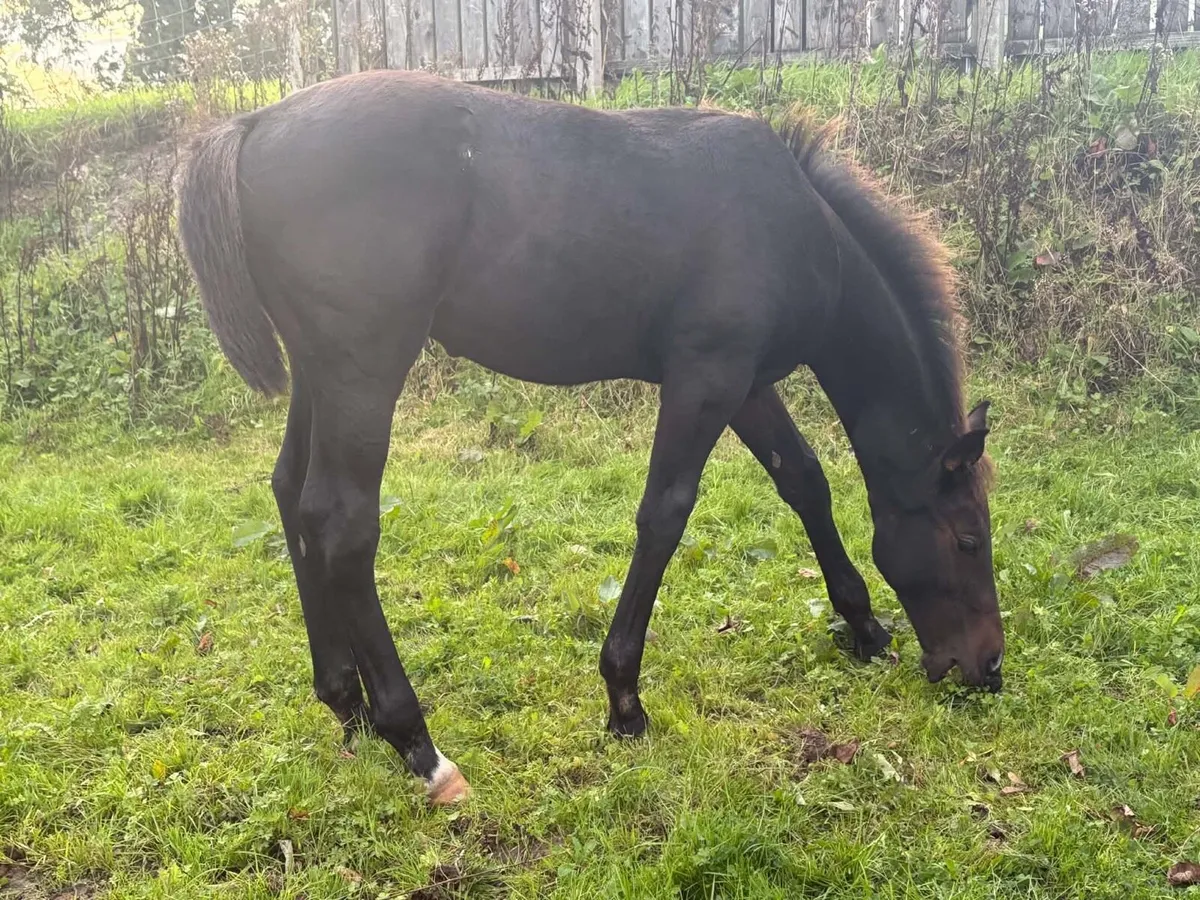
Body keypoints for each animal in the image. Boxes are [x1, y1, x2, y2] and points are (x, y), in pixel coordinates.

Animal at [176, 69, 1003, 806]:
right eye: (968, 538)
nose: (987, 667)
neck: (799, 226)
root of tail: (254, 125)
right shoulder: (706, 377)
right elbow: (665, 514)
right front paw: (624, 699)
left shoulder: (746, 381)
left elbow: (803, 479)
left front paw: (863, 624)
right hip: (365, 371)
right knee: (344, 525)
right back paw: (419, 745)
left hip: (318, 372)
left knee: (292, 495)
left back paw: (344, 700)